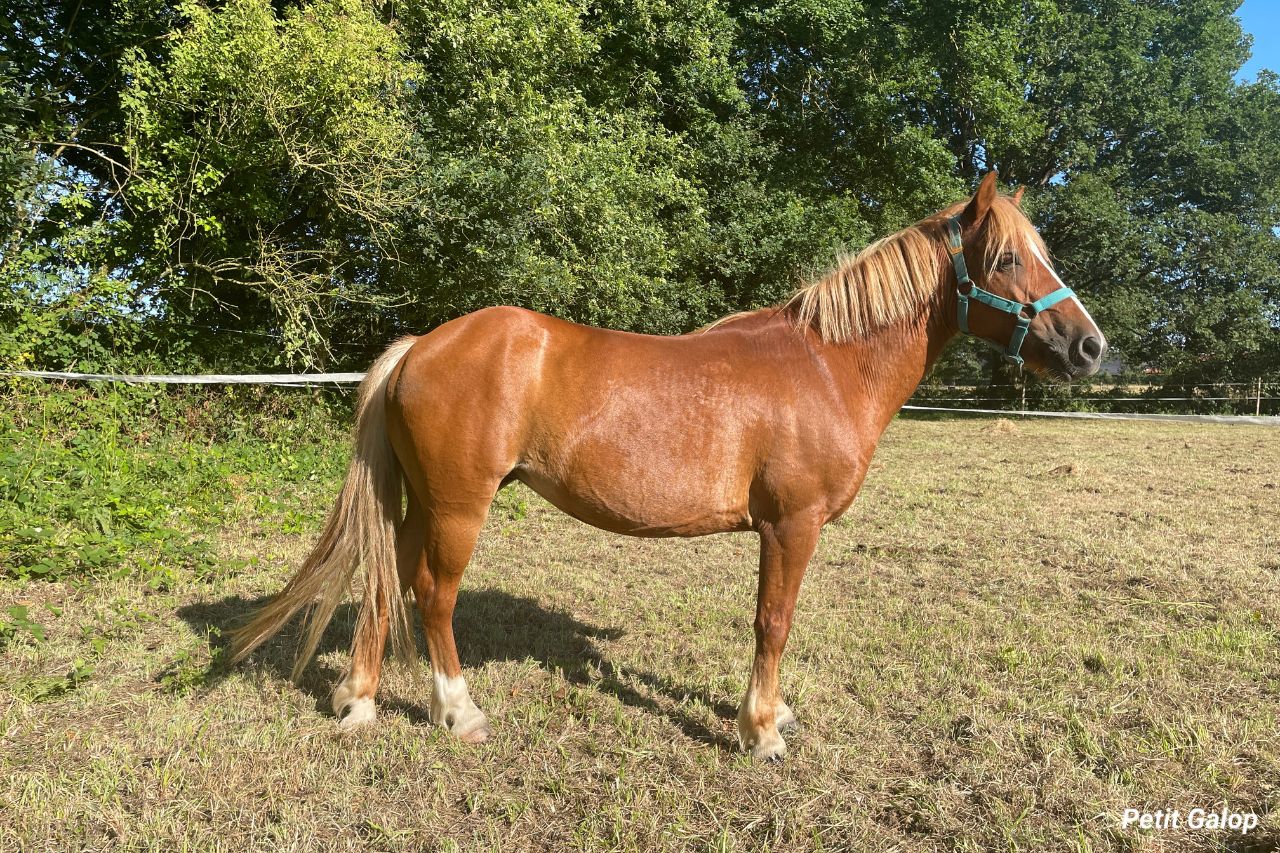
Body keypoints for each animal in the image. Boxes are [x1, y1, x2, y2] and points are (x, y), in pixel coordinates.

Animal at [230, 172, 1105, 760]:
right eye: (1005, 259)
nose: (1090, 345)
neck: (825, 364)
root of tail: (422, 345)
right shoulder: (790, 526)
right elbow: (773, 621)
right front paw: (761, 729)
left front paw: (772, 715)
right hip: (458, 507)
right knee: (432, 595)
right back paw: (459, 711)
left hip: (422, 502)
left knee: (385, 580)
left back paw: (358, 700)